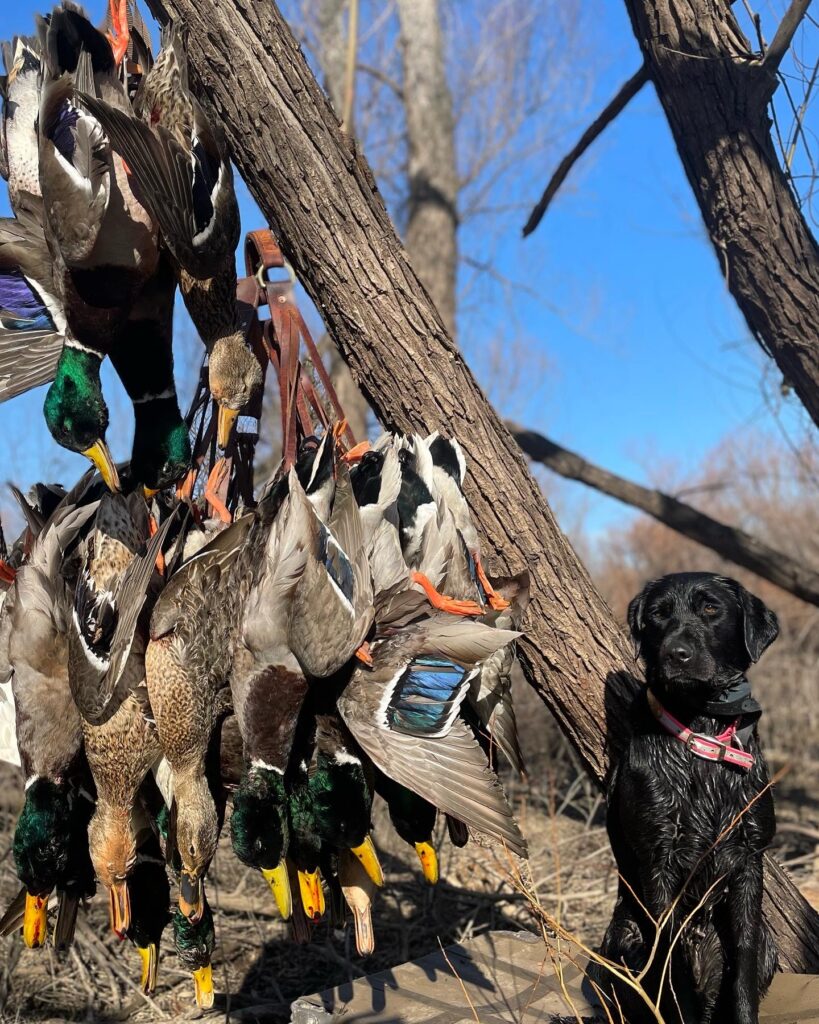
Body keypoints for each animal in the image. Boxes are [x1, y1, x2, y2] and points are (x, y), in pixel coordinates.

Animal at [593, 573, 778, 1024]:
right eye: (659, 614)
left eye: (711, 608)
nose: (675, 654)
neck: (703, 733)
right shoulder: (658, 859)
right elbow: (669, 966)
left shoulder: (749, 857)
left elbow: (743, 967)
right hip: (621, 940)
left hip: (768, 945)